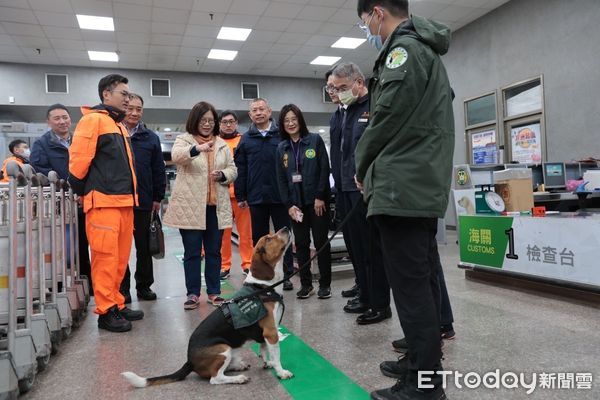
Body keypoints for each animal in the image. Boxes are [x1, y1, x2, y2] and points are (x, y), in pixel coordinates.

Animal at [121, 227, 292, 386]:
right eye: (268, 239)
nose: (286, 227)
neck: (262, 287)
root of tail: (189, 361)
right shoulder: (271, 333)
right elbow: (276, 355)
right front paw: (281, 372)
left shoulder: (265, 335)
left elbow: (264, 351)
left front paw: (268, 363)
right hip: (223, 349)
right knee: (215, 378)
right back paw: (238, 378)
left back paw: (237, 366)